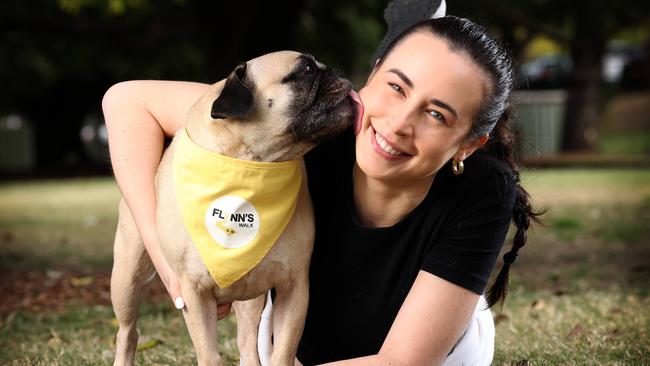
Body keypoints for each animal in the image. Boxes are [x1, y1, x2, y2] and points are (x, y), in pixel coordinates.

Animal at [110, 51, 360, 366]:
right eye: (306, 70)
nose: (337, 72)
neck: (253, 162)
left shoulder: (294, 289)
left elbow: (282, 353)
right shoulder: (193, 293)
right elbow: (209, 355)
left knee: (247, 342)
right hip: (128, 277)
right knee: (127, 331)